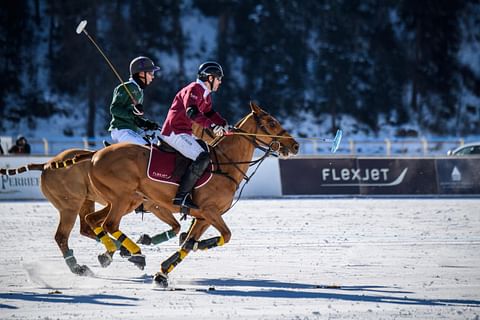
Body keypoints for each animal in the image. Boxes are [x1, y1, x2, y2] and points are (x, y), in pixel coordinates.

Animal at [81, 102, 300, 288]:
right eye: (271, 122)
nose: (295, 145)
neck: (225, 164)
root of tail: (94, 156)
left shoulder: (203, 217)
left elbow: (188, 243)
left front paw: (162, 274)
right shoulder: (209, 211)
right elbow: (225, 235)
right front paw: (194, 245)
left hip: (121, 201)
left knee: (92, 219)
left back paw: (113, 254)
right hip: (125, 198)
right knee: (109, 224)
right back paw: (134, 254)